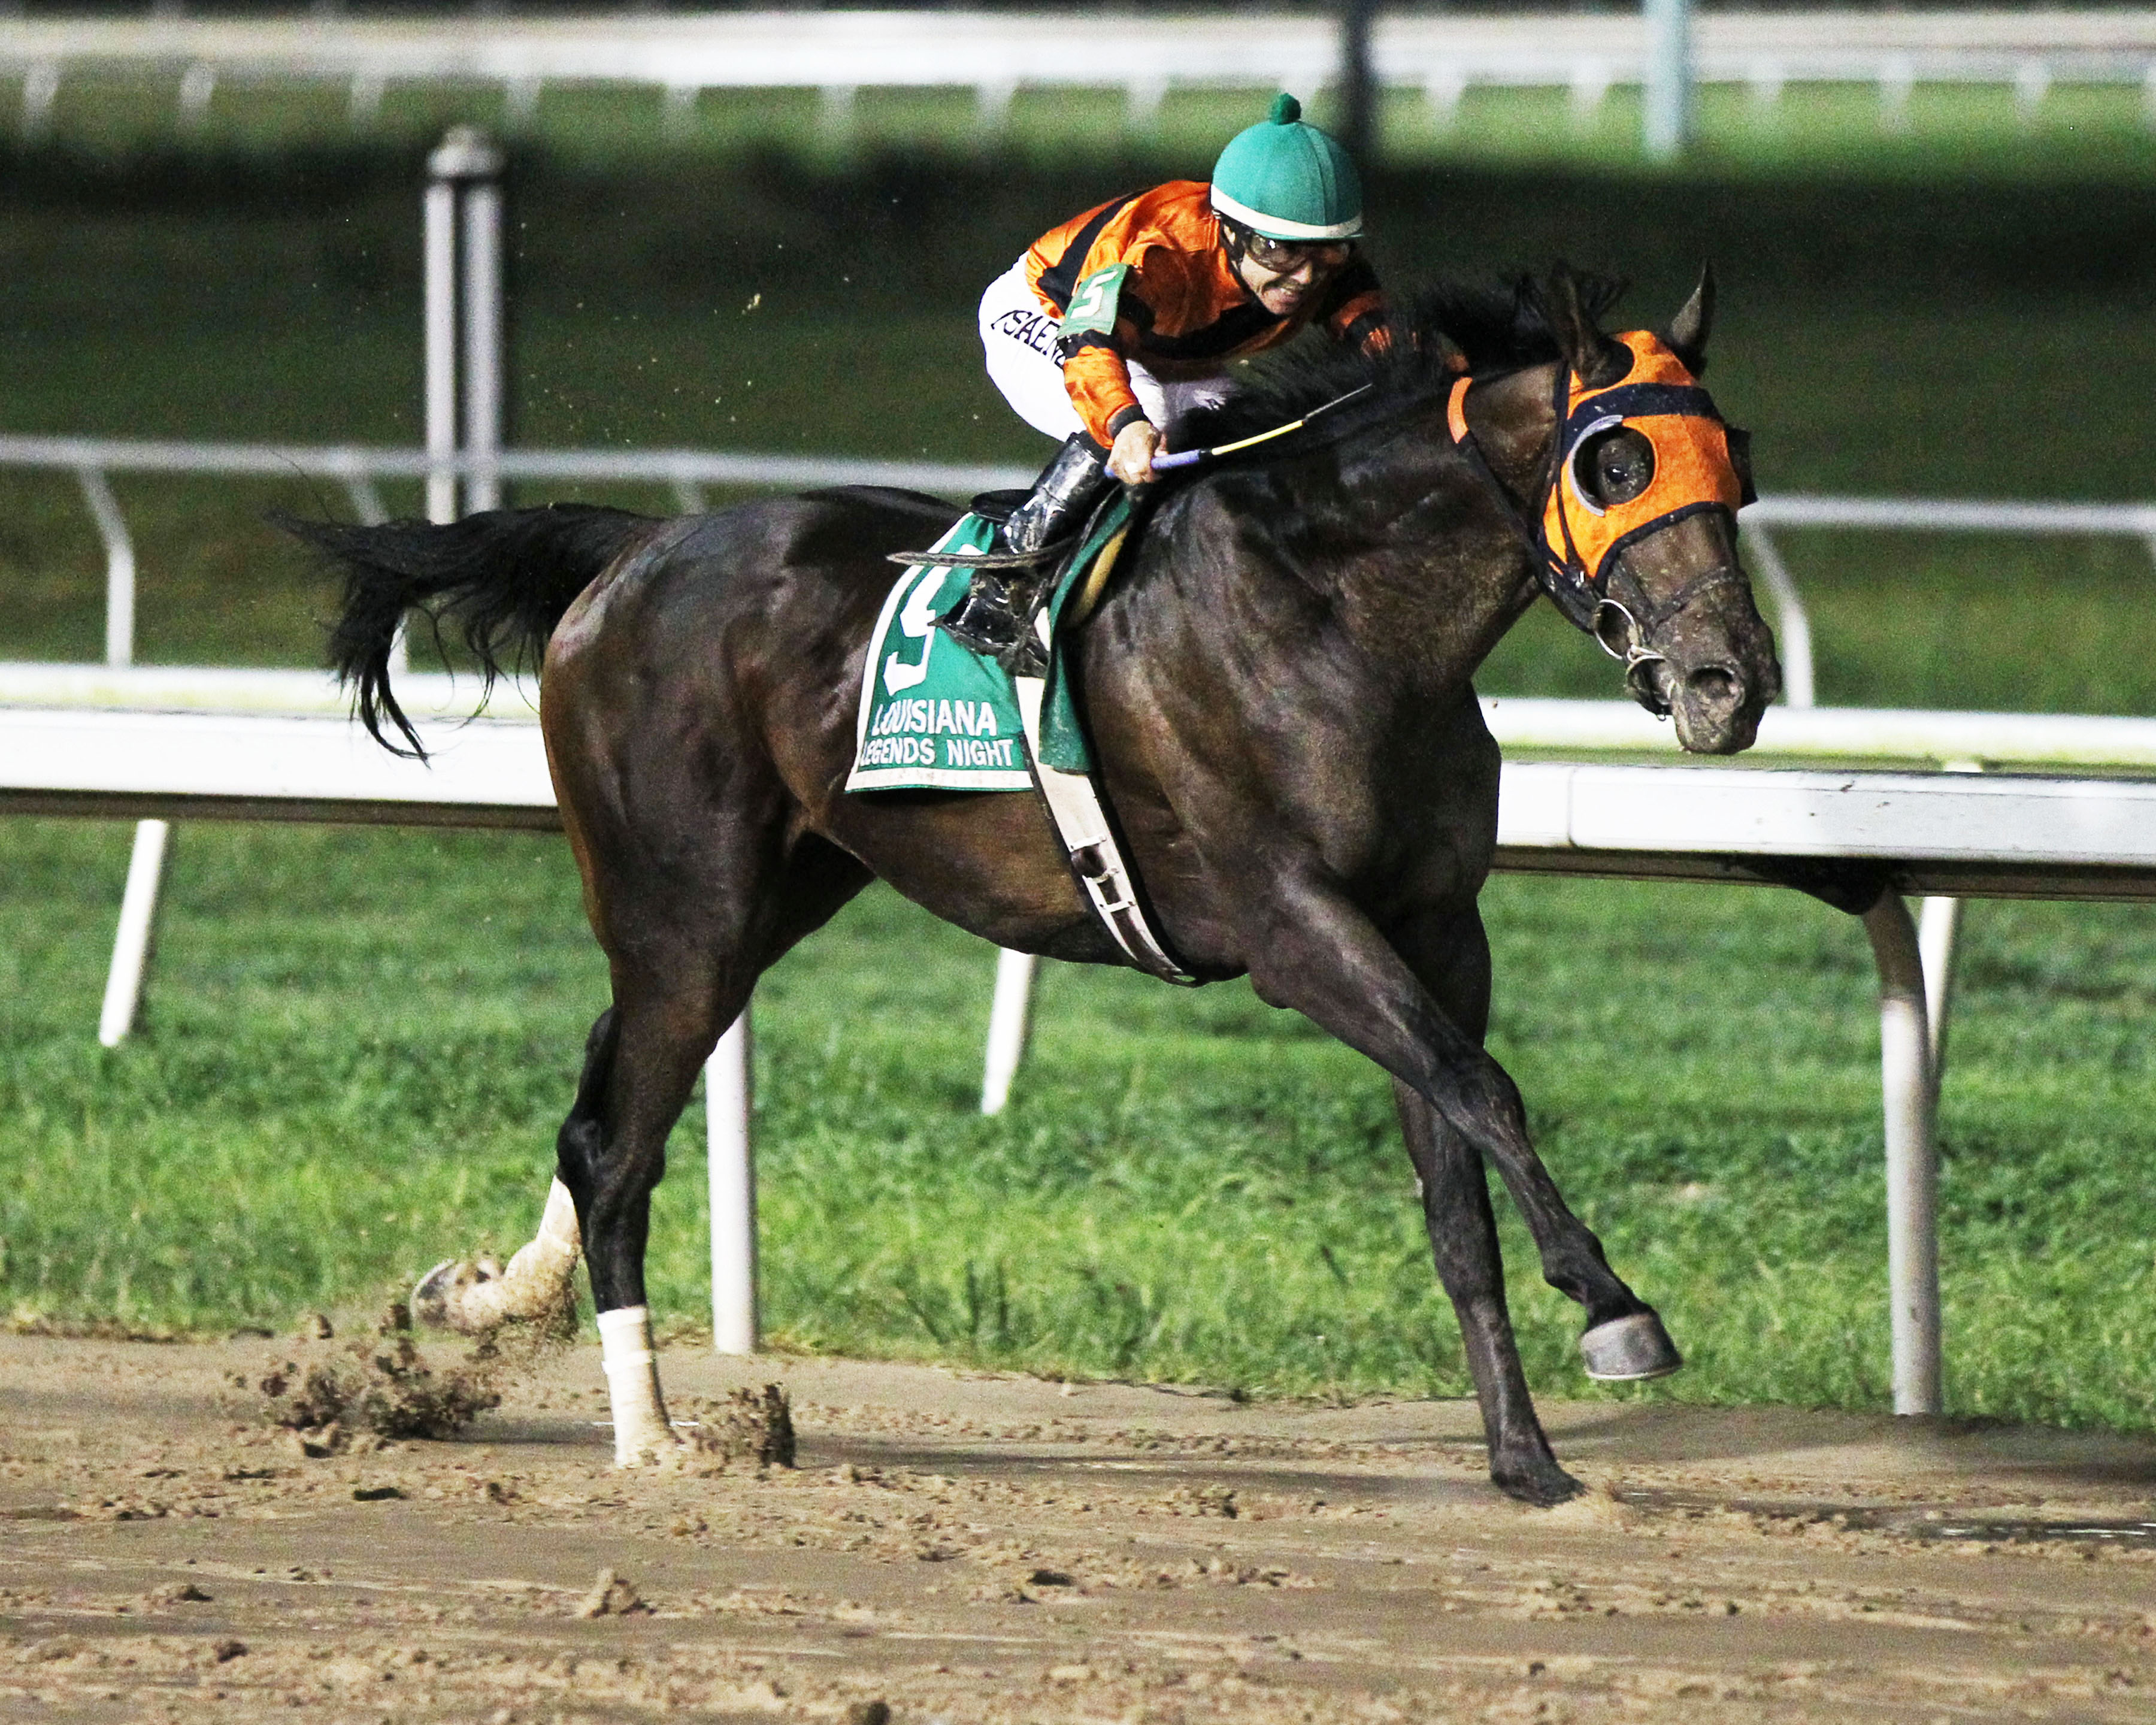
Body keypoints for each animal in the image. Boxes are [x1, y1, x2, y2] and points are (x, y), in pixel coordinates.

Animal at [290, 264, 1779, 1507]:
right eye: (1615, 458)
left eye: (1741, 462)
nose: (1733, 683)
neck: (1341, 614)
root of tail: (631, 554)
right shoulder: (1295, 927)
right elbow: (1486, 1090)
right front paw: (1618, 1310)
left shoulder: (1434, 927)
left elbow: (1457, 1179)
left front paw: (1527, 1462)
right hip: (686, 908)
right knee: (616, 1145)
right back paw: (650, 1437)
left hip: (762, 897)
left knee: (598, 1100)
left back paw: (488, 1301)